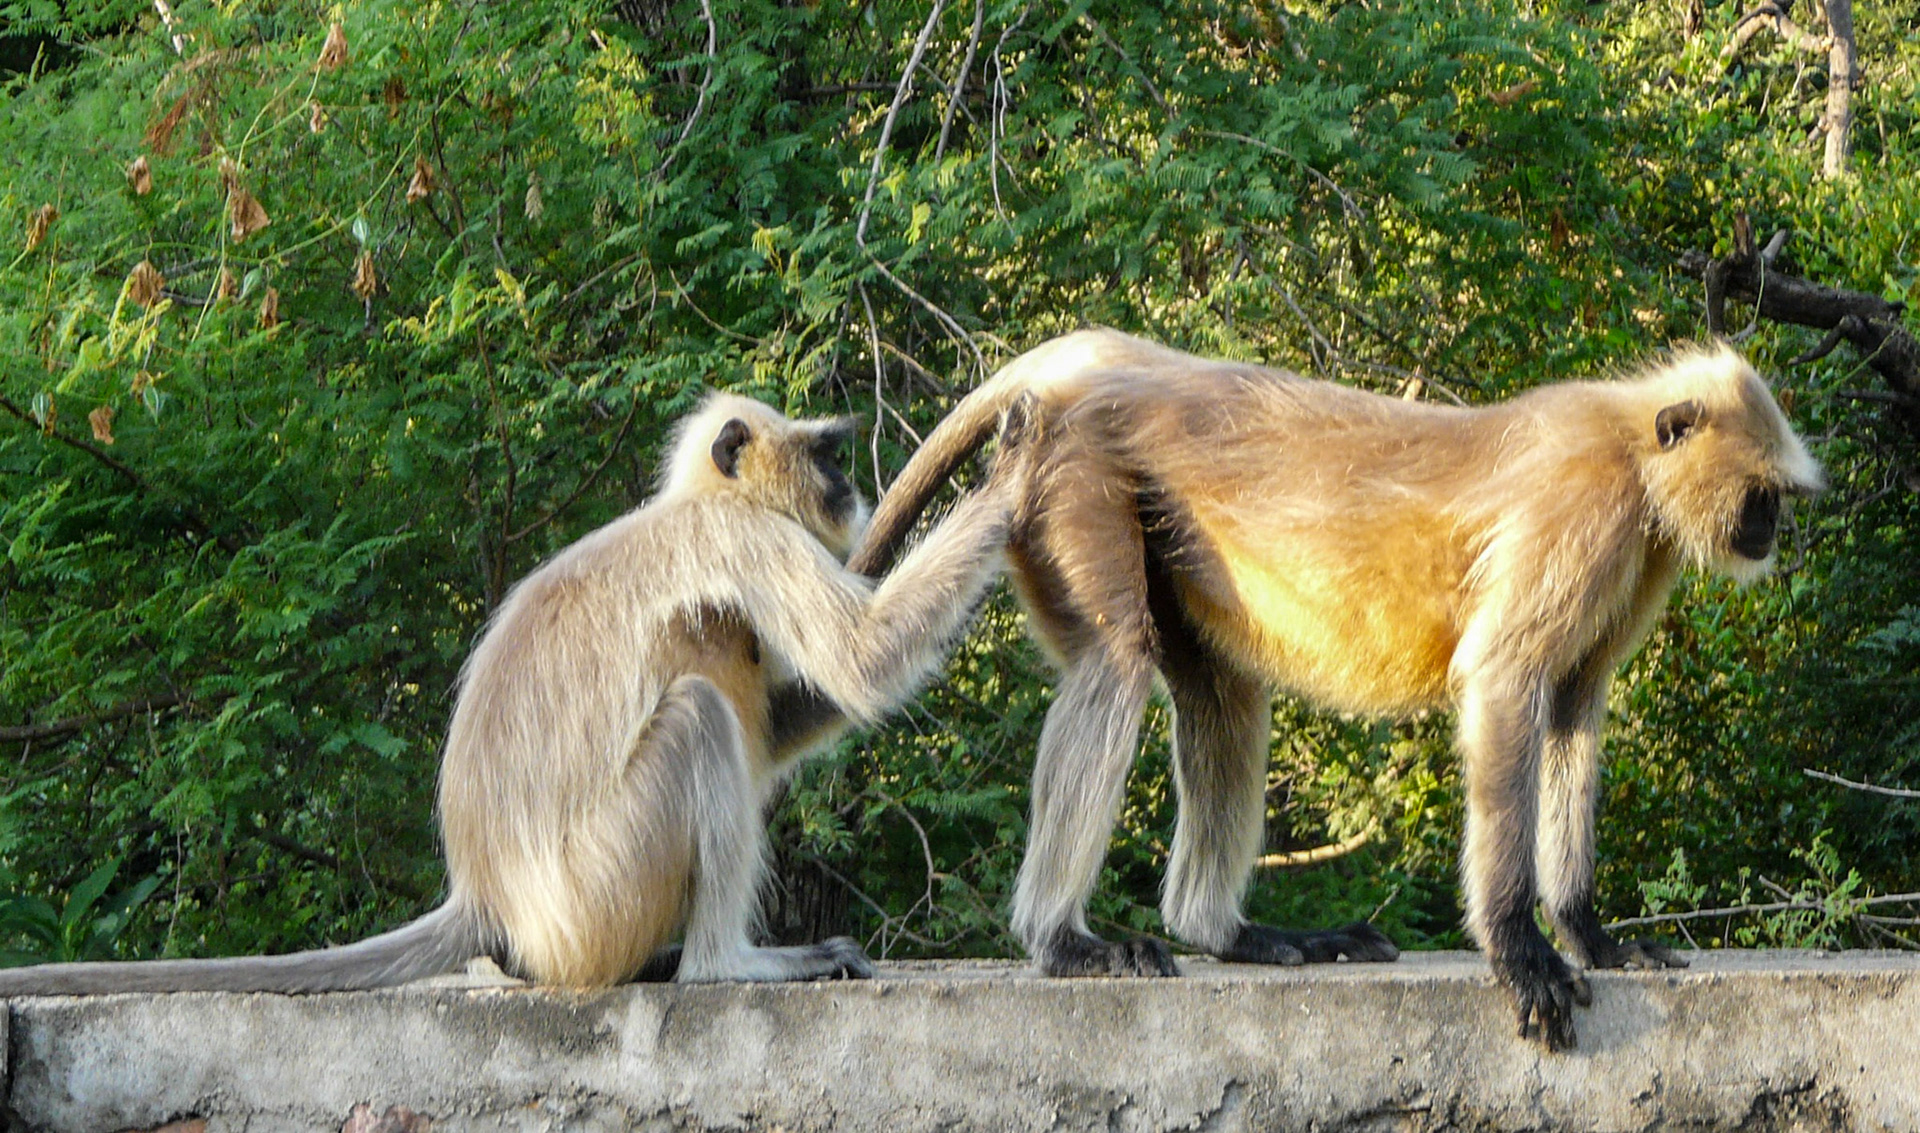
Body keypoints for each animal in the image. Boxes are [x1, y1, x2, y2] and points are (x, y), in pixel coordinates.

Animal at [0, 392, 1028, 995]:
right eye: (821, 455)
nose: (849, 482)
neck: (700, 504)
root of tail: (486, 892)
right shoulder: (745, 539)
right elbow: (860, 659)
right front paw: (1007, 483)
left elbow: (785, 718)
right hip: (596, 887)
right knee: (699, 719)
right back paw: (720, 966)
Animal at [846, 329, 1823, 1051]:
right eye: (1763, 496)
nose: (1772, 530)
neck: (1628, 442)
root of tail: (1115, 368)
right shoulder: (1584, 507)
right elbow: (1506, 679)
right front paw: (1520, 949)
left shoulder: (1637, 544)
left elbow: (1576, 703)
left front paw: (1588, 932)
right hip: (1072, 480)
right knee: (1115, 663)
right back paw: (1061, 942)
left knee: (1223, 695)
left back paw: (1227, 932)